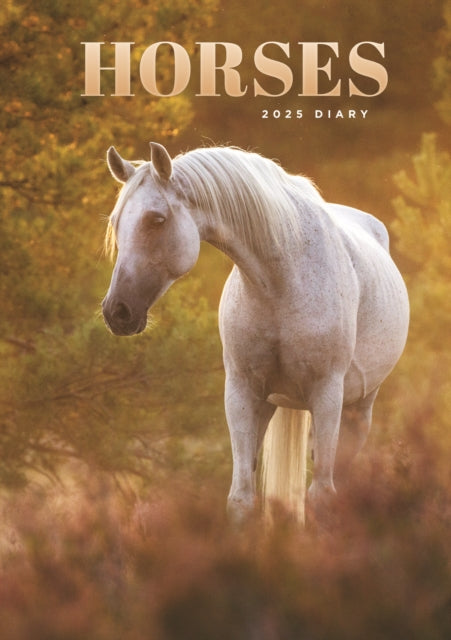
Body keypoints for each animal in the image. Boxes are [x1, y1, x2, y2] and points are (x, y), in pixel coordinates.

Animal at [102, 142, 409, 525]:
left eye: (156, 220)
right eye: (115, 221)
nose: (117, 312)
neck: (281, 279)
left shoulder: (327, 394)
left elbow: (322, 497)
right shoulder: (242, 392)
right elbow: (242, 499)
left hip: (358, 409)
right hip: (272, 405)